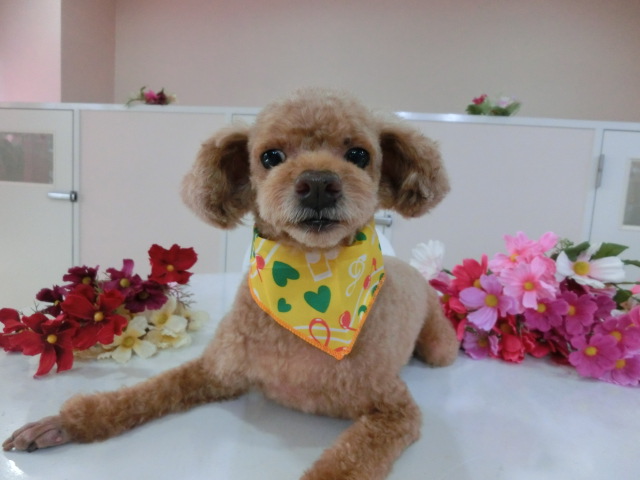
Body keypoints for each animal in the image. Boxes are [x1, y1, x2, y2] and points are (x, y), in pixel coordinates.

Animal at [3, 88, 459, 480]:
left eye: (359, 154)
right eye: (270, 156)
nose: (317, 183)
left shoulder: (393, 411)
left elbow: (348, 461)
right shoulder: (218, 371)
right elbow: (149, 392)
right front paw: (65, 423)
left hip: (439, 346)